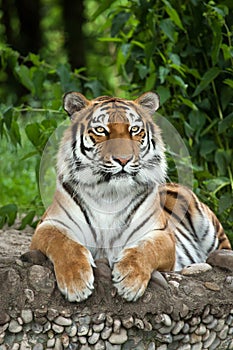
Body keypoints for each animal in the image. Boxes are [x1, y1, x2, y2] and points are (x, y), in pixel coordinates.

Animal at [30, 91, 231, 302]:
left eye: (134, 129)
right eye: (101, 130)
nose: (123, 159)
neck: (108, 195)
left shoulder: (161, 234)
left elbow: (146, 249)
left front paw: (130, 280)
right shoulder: (49, 224)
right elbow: (64, 244)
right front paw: (76, 282)